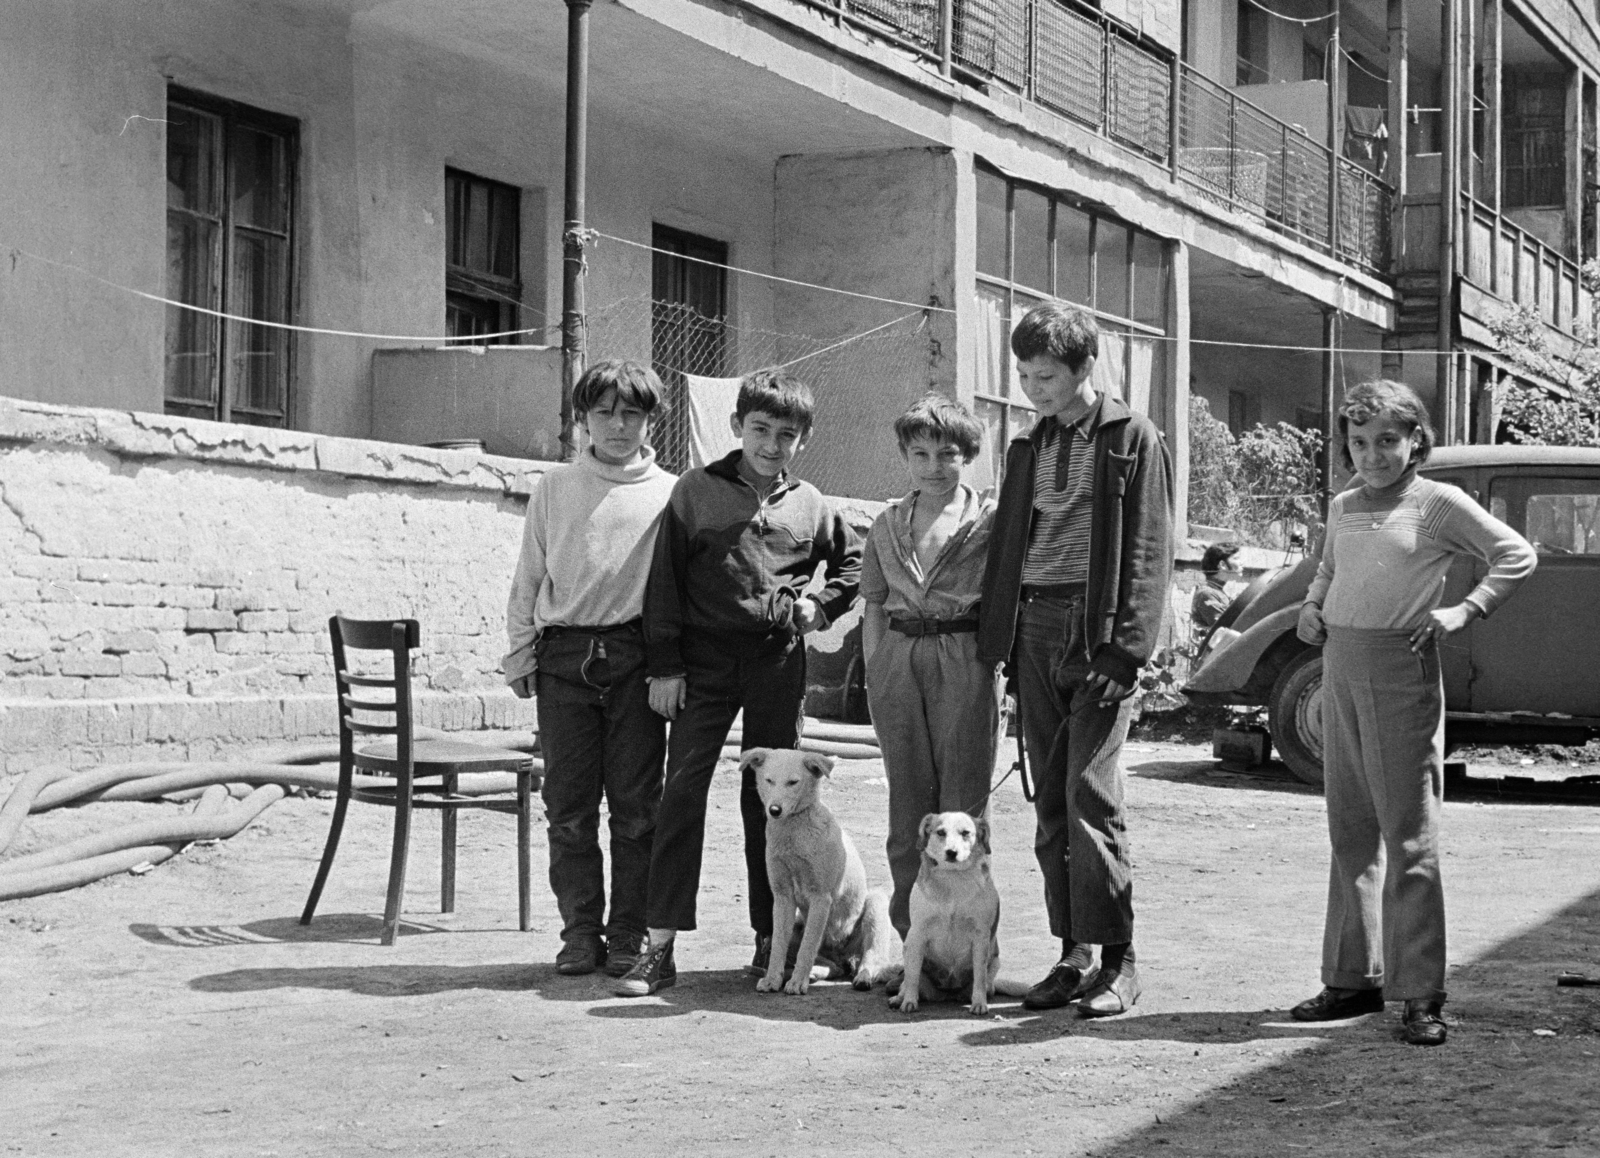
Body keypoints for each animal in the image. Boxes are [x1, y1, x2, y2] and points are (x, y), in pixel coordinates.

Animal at [745, 751, 908, 998]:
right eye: (768, 780)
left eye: (793, 782)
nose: (774, 810)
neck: (793, 835)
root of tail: (846, 957)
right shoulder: (782, 898)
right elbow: (780, 946)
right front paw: (773, 979)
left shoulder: (821, 898)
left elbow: (807, 947)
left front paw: (797, 983)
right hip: (799, 924)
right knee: (833, 966)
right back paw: (815, 972)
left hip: (875, 904)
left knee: (871, 960)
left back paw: (862, 977)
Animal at [889, 815, 1024, 1010]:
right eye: (940, 832)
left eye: (966, 833)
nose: (951, 852)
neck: (952, 878)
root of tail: (948, 994)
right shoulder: (918, 933)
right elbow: (913, 976)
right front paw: (909, 1002)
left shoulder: (980, 936)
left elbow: (979, 976)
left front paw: (979, 1004)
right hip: (909, 948)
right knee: (907, 980)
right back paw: (899, 998)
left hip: (995, 962)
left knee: (986, 984)